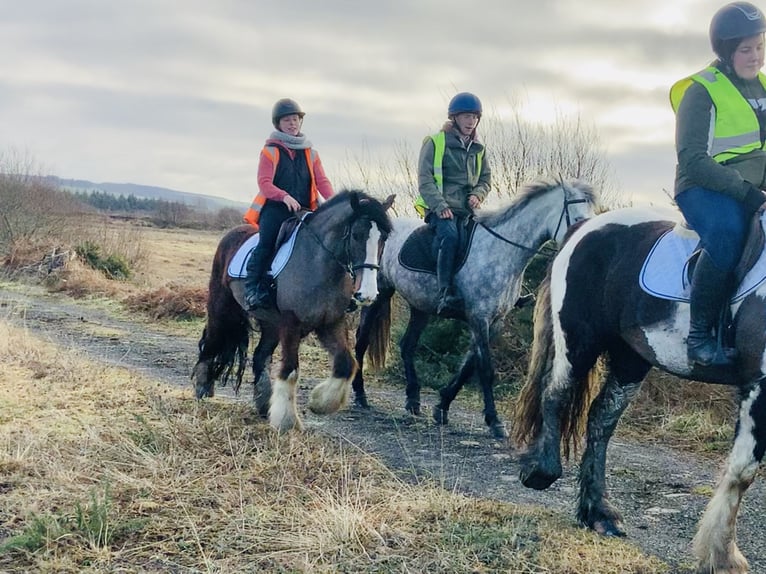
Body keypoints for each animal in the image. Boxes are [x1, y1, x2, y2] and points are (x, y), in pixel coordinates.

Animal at [192, 191, 396, 434]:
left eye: (384, 238)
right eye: (356, 235)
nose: (368, 293)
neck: (319, 264)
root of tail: (231, 234)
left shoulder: (331, 323)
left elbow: (346, 364)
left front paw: (319, 403)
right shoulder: (292, 322)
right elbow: (290, 370)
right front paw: (286, 422)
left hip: (271, 323)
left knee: (260, 356)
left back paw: (264, 404)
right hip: (222, 306)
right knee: (211, 340)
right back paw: (202, 385)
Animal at [354, 182, 600, 438]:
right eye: (579, 219)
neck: (501, 251)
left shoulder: (494, 321)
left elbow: (468, 365)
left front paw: (442, 406)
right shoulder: (479, 318)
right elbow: (485, 369)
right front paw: (494, 420)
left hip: (420, 307)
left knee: (407, 345)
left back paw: (413, 399)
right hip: (378, 295)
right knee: (361, 341)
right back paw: (360, 395)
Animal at [512, 207, 766, 574]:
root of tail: (585, 226)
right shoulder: (758, 384)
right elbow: (742, 471)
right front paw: (722, 555)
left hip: (630, 358)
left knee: (600, 420)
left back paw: (599, 514)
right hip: (579, 340)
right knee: (556, 394)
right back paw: (542, 471)